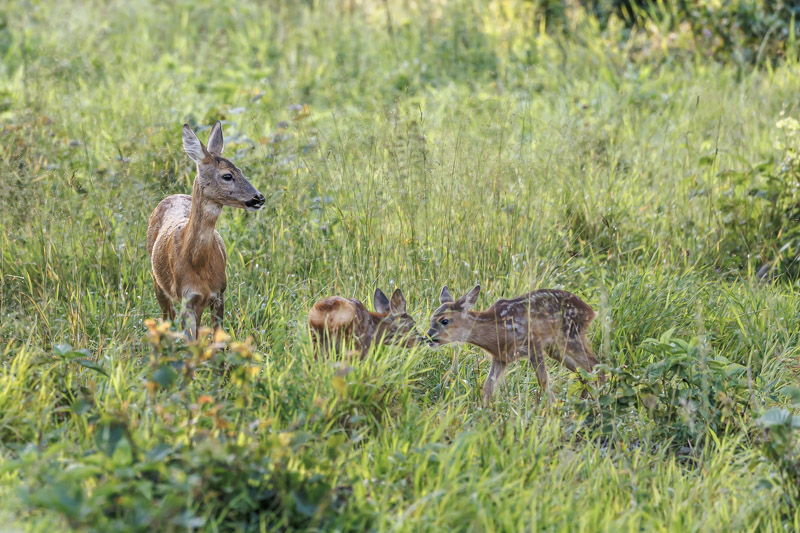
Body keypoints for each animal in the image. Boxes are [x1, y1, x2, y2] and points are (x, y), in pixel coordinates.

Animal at [147, 121, 266, 336]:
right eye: (227, 175)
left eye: (241, 170)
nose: (258, 198)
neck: (197, 264)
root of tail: (173, 195)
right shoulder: (186, 297)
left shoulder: (219, 293)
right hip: (157, 281)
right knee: (167, 317)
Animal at [428, 284, 604, 402]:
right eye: (431, 318)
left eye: (444, 320)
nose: (428, 337)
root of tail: (590, 311)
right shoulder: (500, 358)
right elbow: (488, 387)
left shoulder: (533, 344)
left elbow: (543, 382)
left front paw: (552, 409)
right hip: (555, 348)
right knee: (584, 373)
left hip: (571, 335)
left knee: (596, 367)